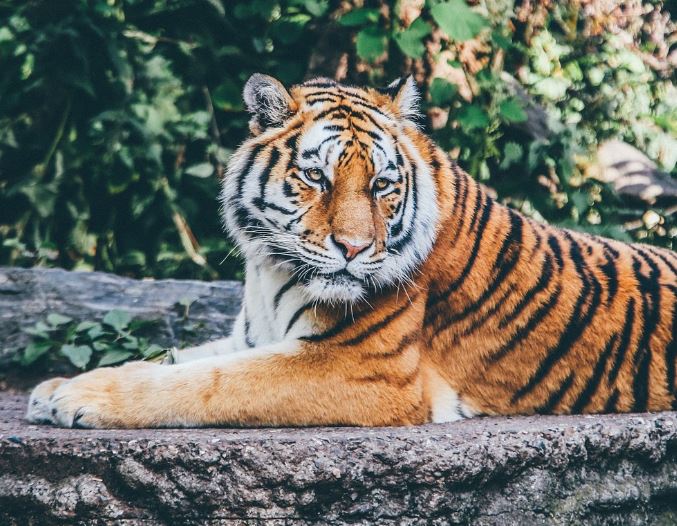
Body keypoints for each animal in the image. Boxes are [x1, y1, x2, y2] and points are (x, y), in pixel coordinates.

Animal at [27, 74, 676, 429]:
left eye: (383, 185)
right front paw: (53, 388)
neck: (269, 270)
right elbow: (175, 358)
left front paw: (79, 396)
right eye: (316, 177)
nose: (355, 247)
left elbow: (202, 383)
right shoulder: (250, 337)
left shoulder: (360, 366)